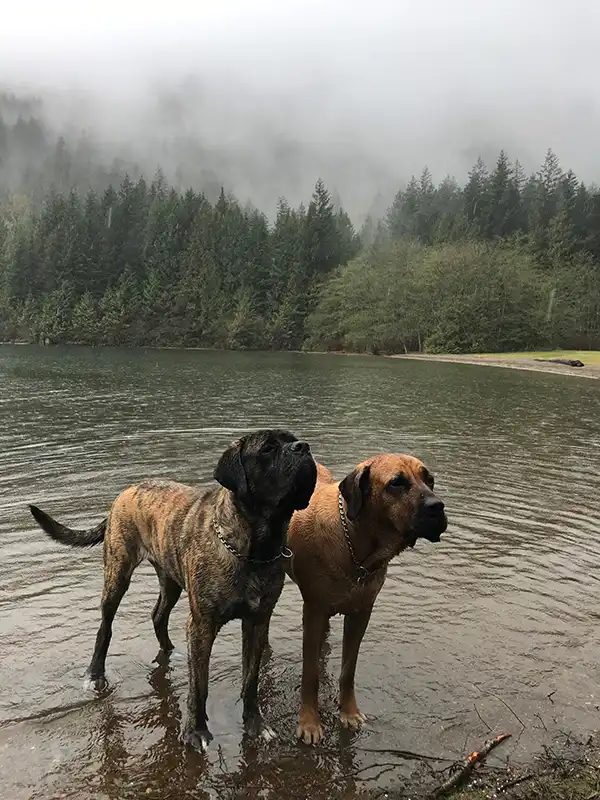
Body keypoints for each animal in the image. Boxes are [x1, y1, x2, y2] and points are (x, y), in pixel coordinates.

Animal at [29, 432, 316, 752]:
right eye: (268, 449)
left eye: (293, 440)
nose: (303, 447)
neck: (255, 548)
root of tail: (126, 491)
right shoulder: (202, 624)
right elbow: (199, 686)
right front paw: (196, 732)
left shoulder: (257, 620)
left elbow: (251, 680)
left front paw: (255, 724)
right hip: (117, 573)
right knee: (105, 627)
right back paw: (95, 675)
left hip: (170, 580)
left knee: (158, 614)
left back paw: (168, 651)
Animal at [284, 456, 446, 744]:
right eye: (396, 483)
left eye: (430, 480)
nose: (438, 507)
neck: (356, 546)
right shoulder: (313, 610)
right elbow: (310, 675)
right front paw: (310, 723)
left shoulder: (362, 612)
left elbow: (349, 669)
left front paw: (349, 713)